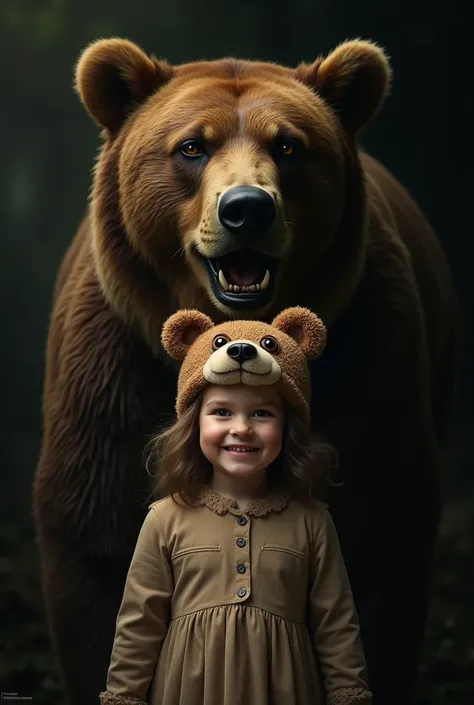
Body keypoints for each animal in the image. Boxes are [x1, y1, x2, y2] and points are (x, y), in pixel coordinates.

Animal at [34, 37, 460, 704]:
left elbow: (381, 531)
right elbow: (96, 550)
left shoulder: (365, 355)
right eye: (192, 145)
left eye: (289, 145)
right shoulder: (117, 368)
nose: (246, 209)